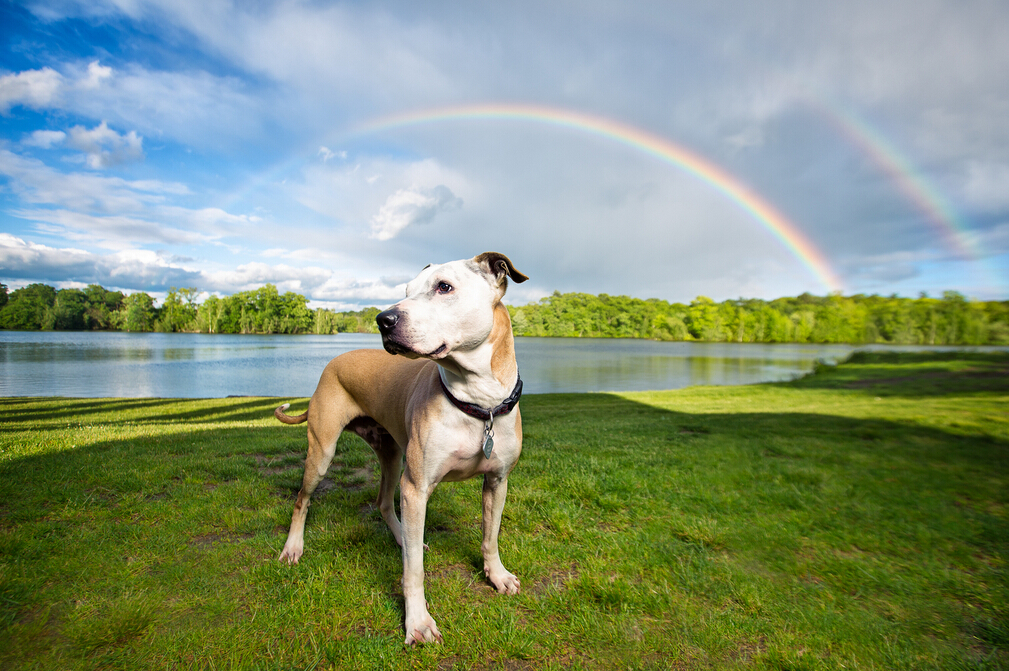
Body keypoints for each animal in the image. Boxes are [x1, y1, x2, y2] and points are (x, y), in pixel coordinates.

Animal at [276, 251, 528, 645]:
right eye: (407, 291)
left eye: (444, 287)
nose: (383, 319)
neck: (478, 403)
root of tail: (335, 359)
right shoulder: (416, 488)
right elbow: (414, 571)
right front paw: (418, 622)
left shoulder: (497, 481)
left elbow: (490, 536)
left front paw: (497, 575)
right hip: (323, 452)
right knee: (302, 500)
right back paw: (293, 548)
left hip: (393, 458)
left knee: (383, 503)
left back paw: (401, 539)